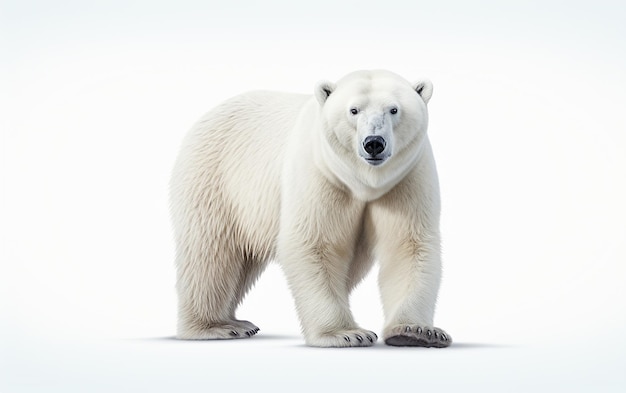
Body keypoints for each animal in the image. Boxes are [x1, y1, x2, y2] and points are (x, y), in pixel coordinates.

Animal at [169, 70, 448, 346]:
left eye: (393, 109)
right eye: (353, 110)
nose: (374, 143)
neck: (363, 182)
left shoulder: (406, 179)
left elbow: (407, 246)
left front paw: (416, 332)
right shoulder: (319, 174)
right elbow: (314, 243)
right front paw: (346, 333)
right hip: (216, 178)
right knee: (211, 252)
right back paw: (216, 326)